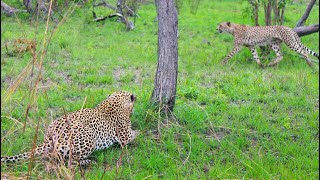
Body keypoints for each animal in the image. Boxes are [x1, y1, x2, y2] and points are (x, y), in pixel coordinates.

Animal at [1, 90, 139, 165]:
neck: (115, 101)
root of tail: (48, 139)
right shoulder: (125, 137)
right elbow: (137, 134)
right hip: (89, 136)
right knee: (71, 161)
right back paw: (90, 162)